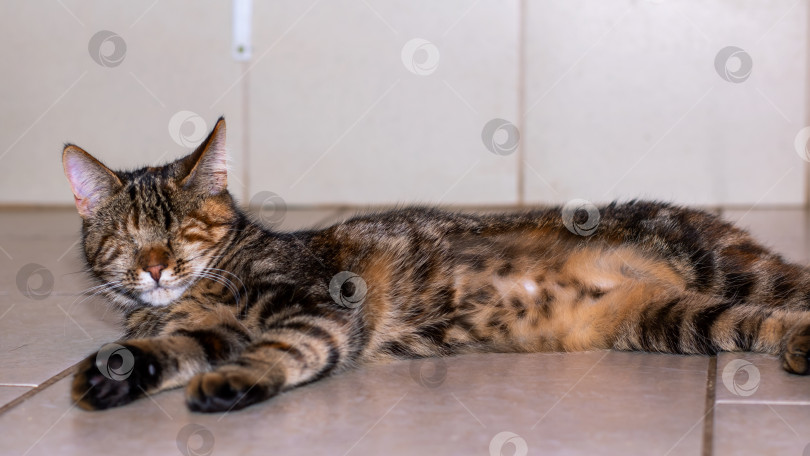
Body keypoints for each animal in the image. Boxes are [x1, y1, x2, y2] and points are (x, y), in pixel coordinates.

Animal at [63, 117, 810, 413]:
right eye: (126, 240)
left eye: (181, 231)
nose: (156, 268)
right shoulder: (207, 329)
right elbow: (173, 348)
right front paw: (117, 371)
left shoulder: (317, 306)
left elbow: (286, 349)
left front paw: (233, 383)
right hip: (673, 320)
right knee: (757, 321)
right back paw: (798, 345)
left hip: (729, 267)